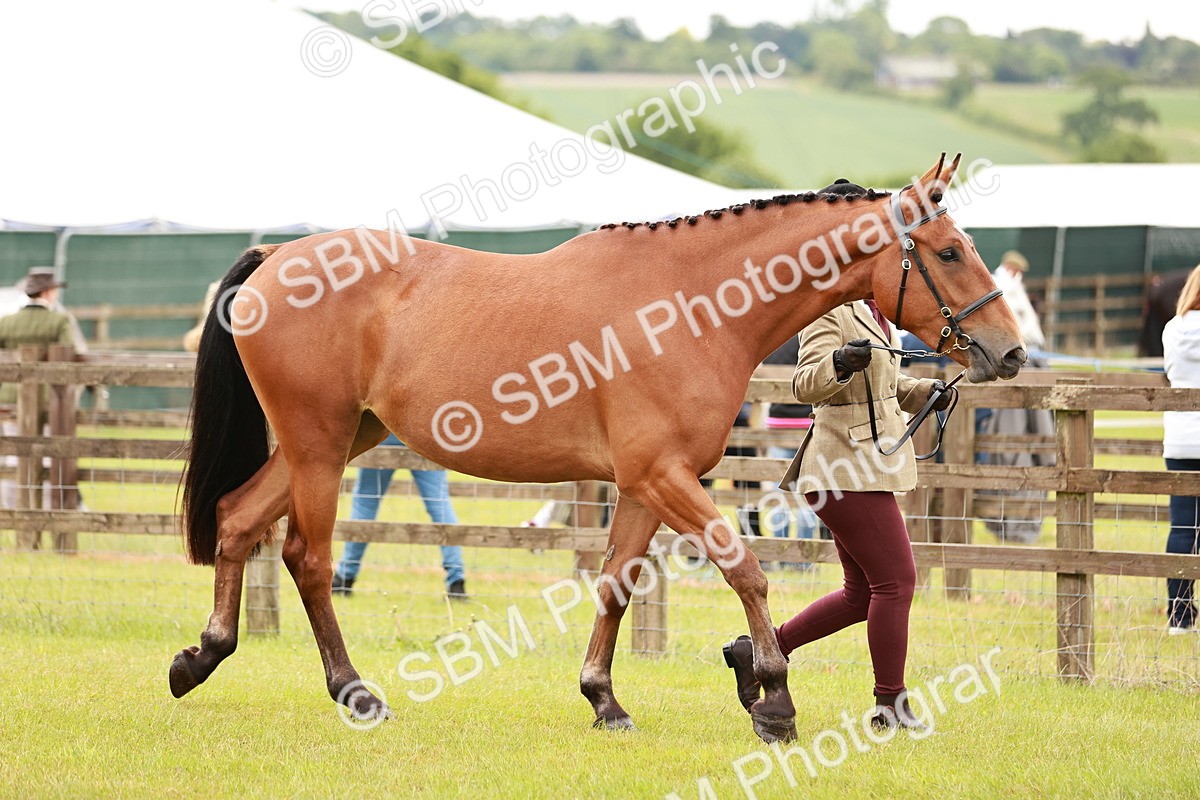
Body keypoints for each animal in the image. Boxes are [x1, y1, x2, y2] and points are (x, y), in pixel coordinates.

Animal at [169, 154, 1025, 743]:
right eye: (949, 251)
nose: (1010, 352)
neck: (690, 306)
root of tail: (277, 258)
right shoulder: (667, 476)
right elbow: (745, 570)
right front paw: (774, 700)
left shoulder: (645, 486)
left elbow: (616, 585)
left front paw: (604, 699)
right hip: (317, 446)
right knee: (307, 559)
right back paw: (355, 691)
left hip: (342, 439)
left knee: (238, 520)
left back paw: (201, 656)